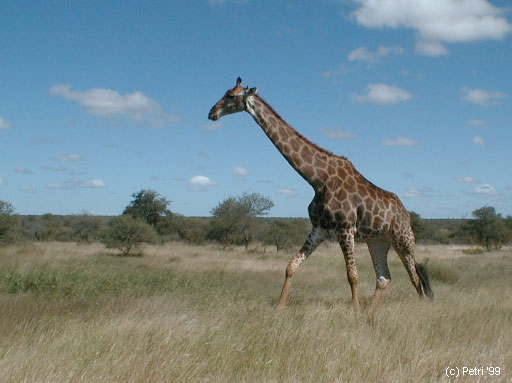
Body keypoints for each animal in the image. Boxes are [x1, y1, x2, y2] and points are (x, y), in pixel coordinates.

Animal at [208, 78, 432, 312]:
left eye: (231, 96)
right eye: (226, 92)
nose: (211, 113)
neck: (318, 180)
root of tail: (407, 214)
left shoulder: (345, 229)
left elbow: (353, 276)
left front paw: (355, 313)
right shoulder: (319, 229)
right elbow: (290, 266)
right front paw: (279, 308)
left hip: (403, 241)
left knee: (416, 278)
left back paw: (418, 310)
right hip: (378, 242)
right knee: (384, 278)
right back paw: (371, 312)